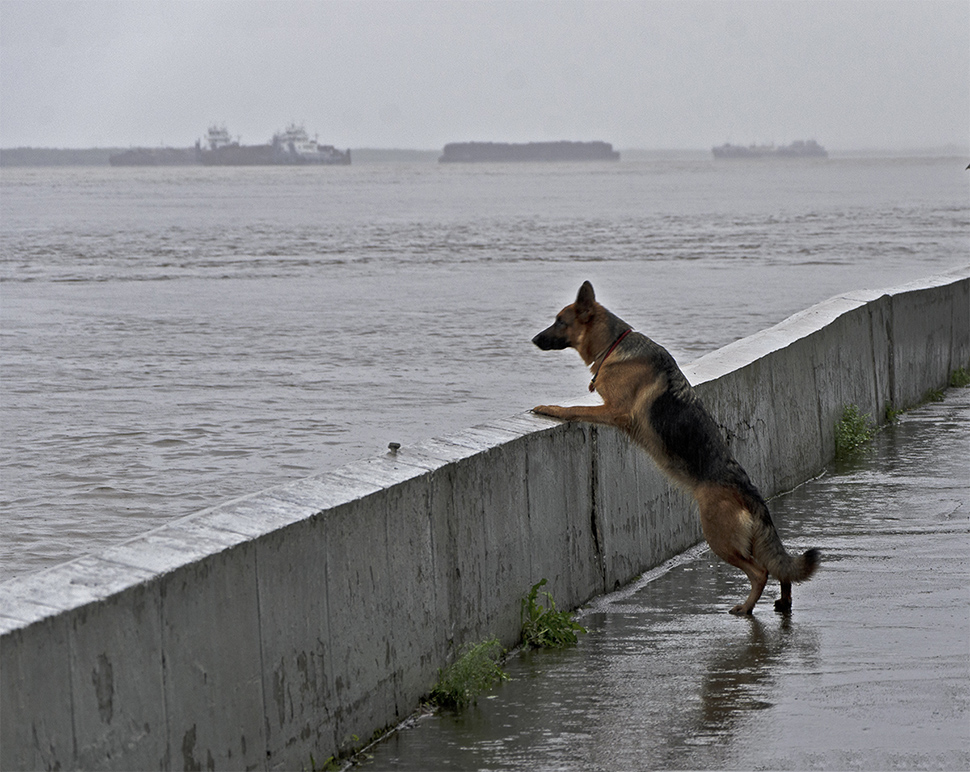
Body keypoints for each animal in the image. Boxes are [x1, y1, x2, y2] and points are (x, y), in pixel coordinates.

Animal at [528, 284, 816, 616]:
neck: (613, 345)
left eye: (560, 322)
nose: (534, 339)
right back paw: (783, 601)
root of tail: (750, 492)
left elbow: (575, 409)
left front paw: (550, 408)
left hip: (719, 538)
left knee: (761, 571)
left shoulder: (614, 411)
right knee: (781, 569)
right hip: (749, 540)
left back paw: (745, 607)